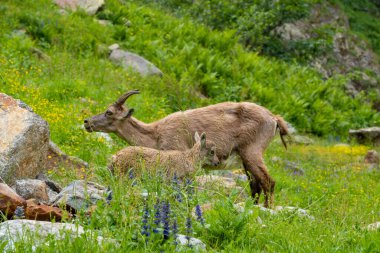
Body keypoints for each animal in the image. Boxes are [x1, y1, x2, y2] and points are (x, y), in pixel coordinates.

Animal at [84, 90, 290, 207]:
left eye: (109, 112)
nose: (87, 122)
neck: (155, 134)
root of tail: (274, 119)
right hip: (246, 161)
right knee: (256, 185)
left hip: (252, 152)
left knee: (269, 182)